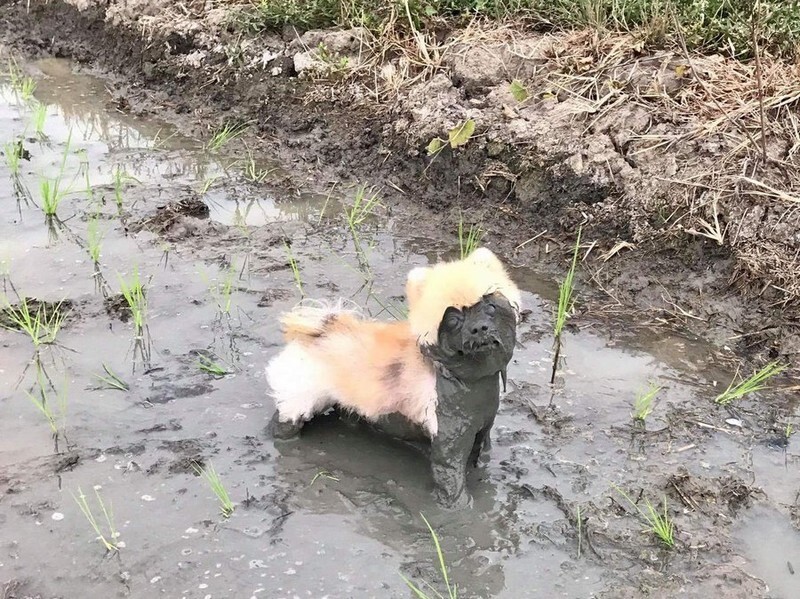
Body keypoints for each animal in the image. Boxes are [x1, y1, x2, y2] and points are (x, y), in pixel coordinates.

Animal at [266, 248, 520, 506]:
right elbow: (451, 478)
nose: (479, 328)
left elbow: (482, 454)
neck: (467, 379)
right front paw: (460, 507)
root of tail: (320, 332)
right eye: (453, 320)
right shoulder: (449, 440)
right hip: (300, 398)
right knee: (285, 420)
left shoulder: (482, 429)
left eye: (489, 306)